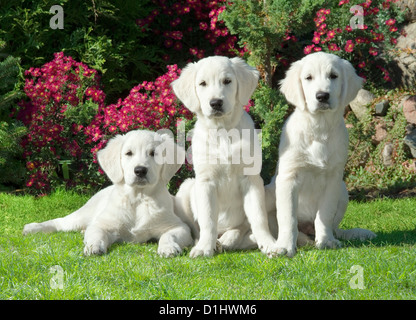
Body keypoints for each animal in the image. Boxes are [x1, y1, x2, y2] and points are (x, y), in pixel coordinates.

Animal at [22, 129, 192, 256]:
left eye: (153, 153)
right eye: (129, 153)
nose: (140, 170)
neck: (138, 198)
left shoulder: (178, 226)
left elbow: (168, 235)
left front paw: (168, 247)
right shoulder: (103, 224)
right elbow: (96, 233)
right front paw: (93, 246)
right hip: (81, 215)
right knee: (59, 222)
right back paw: (32, 228)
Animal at [171, 55, 278, 258]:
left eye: (227, 81)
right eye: (202, 83)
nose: (215, 103)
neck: (222, 131)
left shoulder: (252, 180)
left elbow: (258, 218)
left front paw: (269, 244)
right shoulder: (205, 182)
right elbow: (207, 220)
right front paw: (204, 248)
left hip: (267, 192)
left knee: (242, 226)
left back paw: (228, 239)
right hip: (187, 188)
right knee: (196, 229)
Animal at [266, 52, 376, 258]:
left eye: (333, 76)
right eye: (308, 78)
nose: (322, 96)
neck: (319, 128)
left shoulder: (333, 178)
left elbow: (324, 214)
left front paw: (325, 241)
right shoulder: (288, 178)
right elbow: (287, 217)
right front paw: (284, 246)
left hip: (342, 190)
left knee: (333, 227)